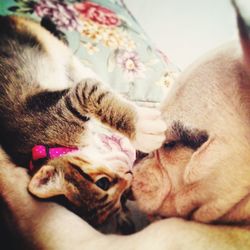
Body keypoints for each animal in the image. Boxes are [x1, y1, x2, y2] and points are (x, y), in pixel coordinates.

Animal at [0, 15, 166, 230]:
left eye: (102, 183)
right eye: (120, 199)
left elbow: (98, 97)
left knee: (83, 71)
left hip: (58, 52)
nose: (129, 174)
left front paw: (141, 127)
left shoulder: (73, 98)